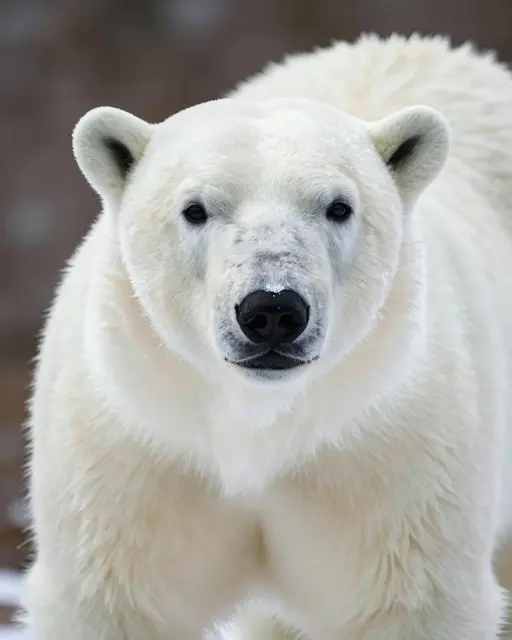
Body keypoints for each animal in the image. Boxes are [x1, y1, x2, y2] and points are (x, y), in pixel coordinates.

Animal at [23, 33, 512, 639]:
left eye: (338, 206)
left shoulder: (395, 447)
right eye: (194, 209)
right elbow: (114, 599)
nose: (272, 309)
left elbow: (411, 601)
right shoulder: (134, 445)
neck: (257, 425)